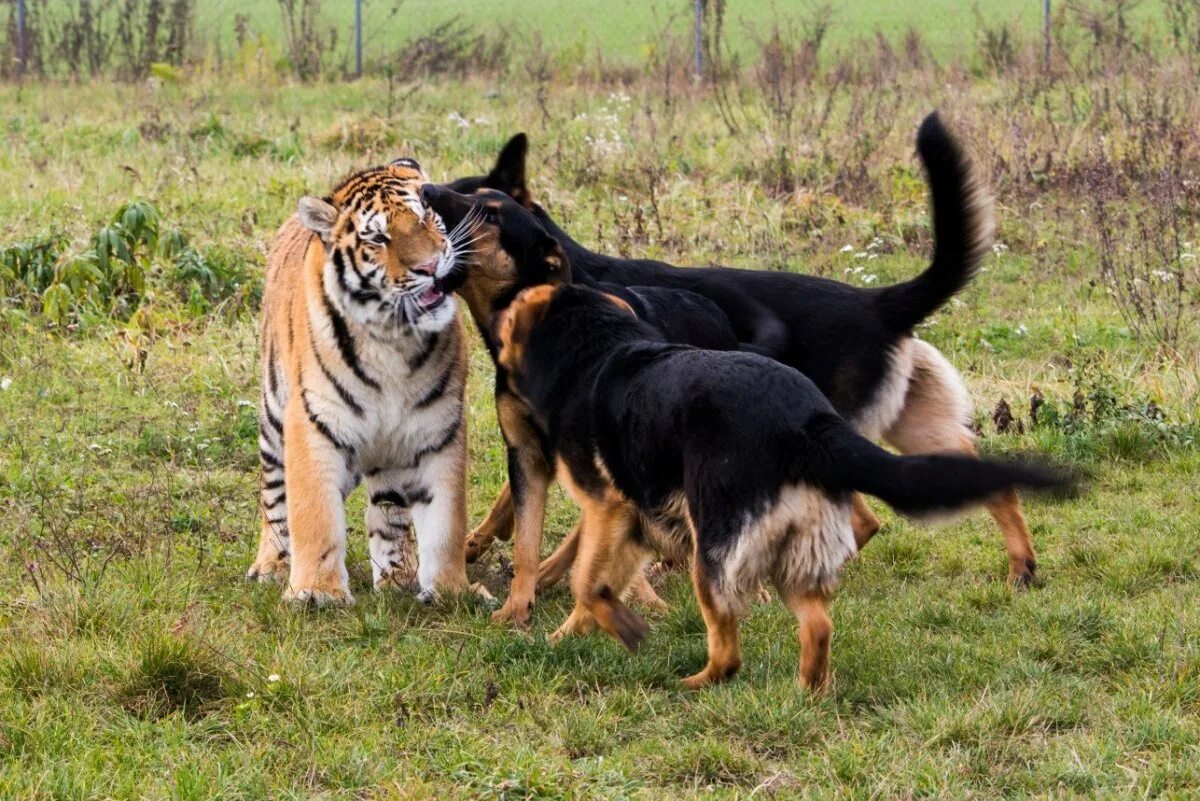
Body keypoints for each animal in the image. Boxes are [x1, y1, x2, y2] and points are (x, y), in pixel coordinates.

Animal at [247, 158, 468, 606]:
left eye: (425, 216)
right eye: (379, 238)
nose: (430, 266)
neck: (393, 340)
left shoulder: (439, 431)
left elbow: (446, 522)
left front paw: (451, 591)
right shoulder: (314, 423)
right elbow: (315, 515)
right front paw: (317, 593)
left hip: (391, 450)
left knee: (389, 512)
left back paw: (398, 579)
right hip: (274, 418)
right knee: (274, 496)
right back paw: (272, 565)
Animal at [446, 113, 1046, 587]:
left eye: (472, 206)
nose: (427, 194)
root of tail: (876, 302)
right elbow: (512, 495)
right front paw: (481, 541)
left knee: (863, 519)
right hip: (901, 425)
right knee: (974, 478)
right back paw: (1021, 563)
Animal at [496, 284, 1070, 690]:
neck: (599, 345)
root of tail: (804, 424)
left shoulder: (607, 506)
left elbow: (585, 581)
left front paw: (602, 629)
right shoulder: (634, 520)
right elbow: (596, 584)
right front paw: (566, 636)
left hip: (714, 551)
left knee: (729, 651)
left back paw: (698, 682)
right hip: (797, 550)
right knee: (818, 626)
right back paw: (807, 691)